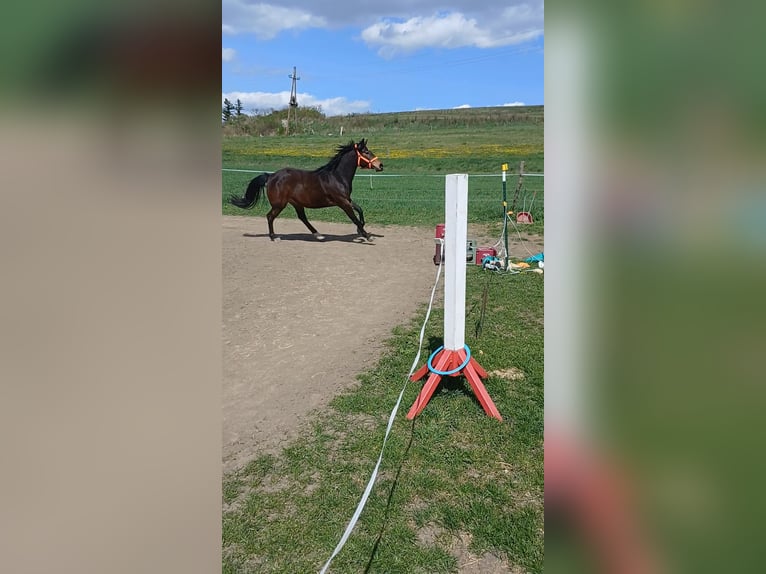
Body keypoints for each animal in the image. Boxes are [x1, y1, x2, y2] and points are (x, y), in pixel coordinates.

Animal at [229, 139, 383, 241]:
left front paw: (361, 230)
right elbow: (354, 218)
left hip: (296, 203)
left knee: (302, 217)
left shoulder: (347, 199)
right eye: (366, 152)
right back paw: (274, 237)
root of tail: (271, 176)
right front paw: (367, 235)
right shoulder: (342, 202)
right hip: (279, 204)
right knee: (270, 216)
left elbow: (360, 210)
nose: (381, 165)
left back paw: (318, 235)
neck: (336, 176)